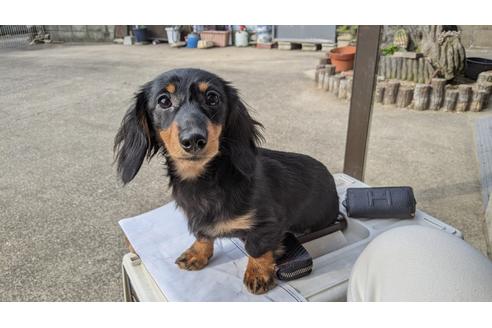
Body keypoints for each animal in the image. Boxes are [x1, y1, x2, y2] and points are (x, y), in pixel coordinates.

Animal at [114, 68, 338, 294]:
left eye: (213, 98)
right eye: (164, 101)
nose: (193, 140)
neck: (207, 180)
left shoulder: (269, 223)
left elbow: (256, 247)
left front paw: (258, 273)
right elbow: (203, 235)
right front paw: (198, 253)